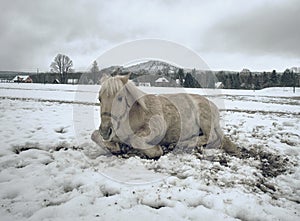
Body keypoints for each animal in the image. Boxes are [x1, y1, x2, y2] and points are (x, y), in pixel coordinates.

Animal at [91, 74, 239, 159]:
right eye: (99, 99)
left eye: (120, 98)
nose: (105, 131)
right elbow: (94, 135)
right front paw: (115, 147)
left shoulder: (155, 129)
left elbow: (136, 140)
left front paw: (157, 150)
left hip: (205, 120)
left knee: (211, 137)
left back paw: (183, 143)